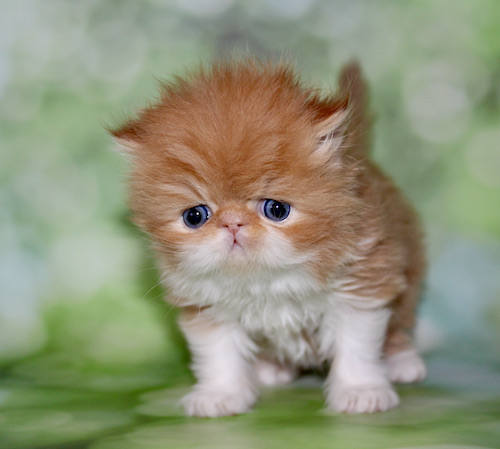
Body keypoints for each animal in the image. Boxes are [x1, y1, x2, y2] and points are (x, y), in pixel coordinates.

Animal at [111, 59, 427, 417]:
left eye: (276, 209)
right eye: (195, 216)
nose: (232, 223)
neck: (265, 279)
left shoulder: (363, 283)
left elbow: (357, 346)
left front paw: (361, 390)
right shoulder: (205, 305)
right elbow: (218, 355)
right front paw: (220, 395)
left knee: (400, 322)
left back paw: (402, 361)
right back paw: (272, 368)